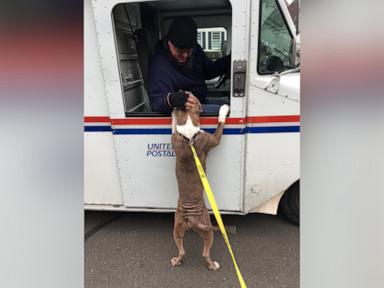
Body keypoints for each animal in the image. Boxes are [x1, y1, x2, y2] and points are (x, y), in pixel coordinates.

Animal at [170, 100, 230, 270]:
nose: (175, 106)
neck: (189, 135)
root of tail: (191, 217)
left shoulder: (174, 137)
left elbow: (174, 126)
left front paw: (174, 115)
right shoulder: (214, 140)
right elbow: (220, 123)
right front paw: (224, 109)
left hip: (177, 228)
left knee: (182, 250)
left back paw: (176, 261)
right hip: (207, 228)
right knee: (205, 253)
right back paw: (213, 266)